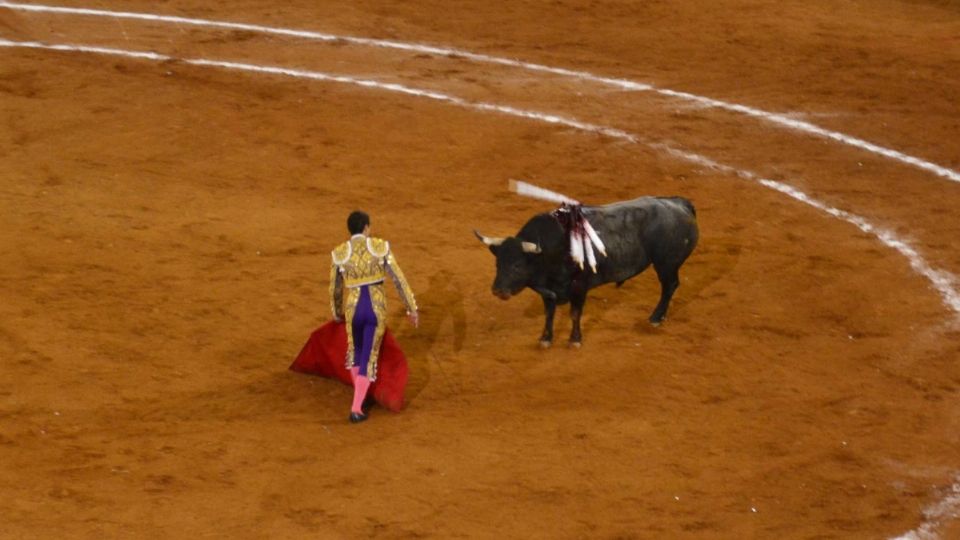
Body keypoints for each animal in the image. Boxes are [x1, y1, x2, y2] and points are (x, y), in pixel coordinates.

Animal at [478, 196, 696, 348]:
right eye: (497, 264)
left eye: (517, 265)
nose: (497, 290)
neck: (554, 248)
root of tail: (680, 204)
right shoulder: (549, 291)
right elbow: (549, 314)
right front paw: (546, 338)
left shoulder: (579, 288)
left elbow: (575, 314)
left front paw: (575, 339)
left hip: (666, 264)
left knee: (669, 287)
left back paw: (656, 317)